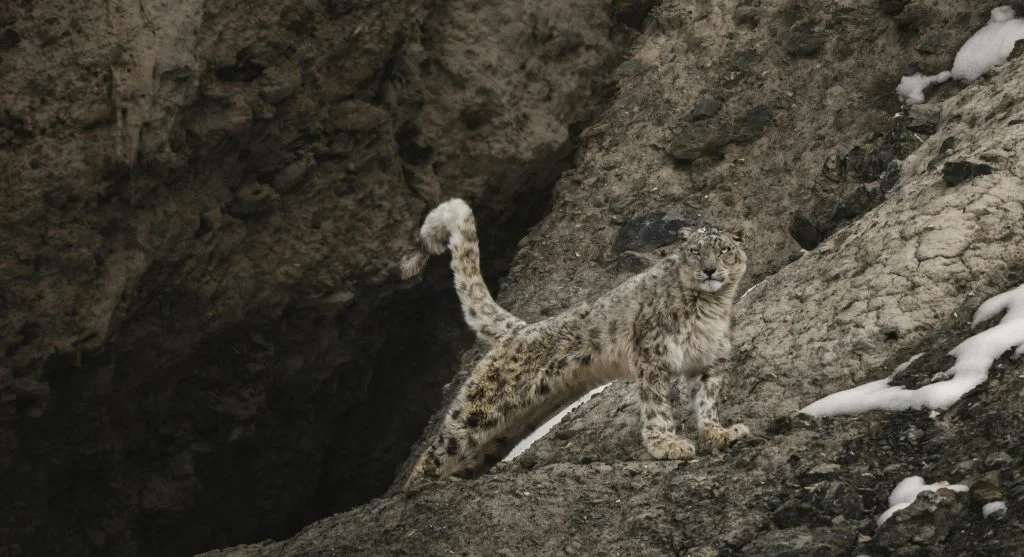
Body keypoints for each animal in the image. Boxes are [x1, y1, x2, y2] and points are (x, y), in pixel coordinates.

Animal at [394, 198, 751, 489]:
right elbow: (657, 407)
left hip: (512, 426)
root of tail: (520, 328)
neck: (711, 308)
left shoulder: (709, 363)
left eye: (724, 250)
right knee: (441, 445)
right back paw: (410, 491)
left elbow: (707, 403)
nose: (709, 269)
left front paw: (719, 433)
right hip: (482, 409)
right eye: (696, 251)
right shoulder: (653, 357)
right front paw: (667, 444)